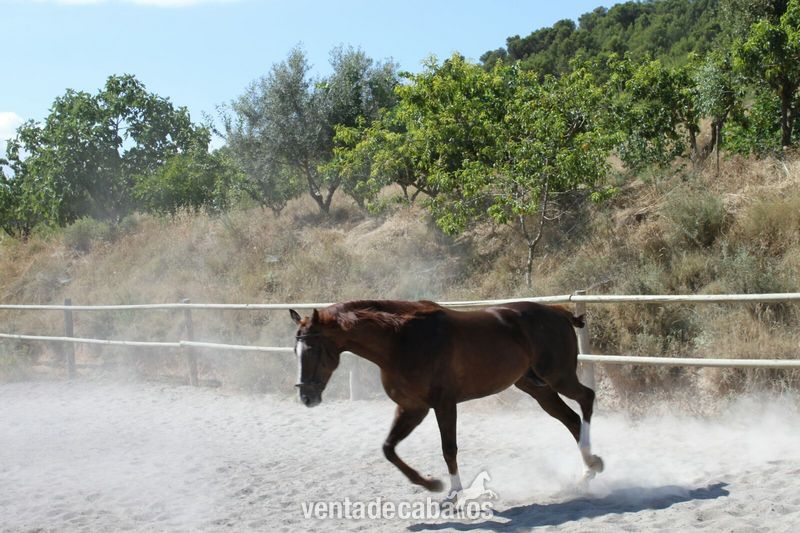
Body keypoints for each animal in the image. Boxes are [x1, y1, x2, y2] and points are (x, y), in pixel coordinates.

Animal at [290, 299, 604, 495]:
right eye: (296, 350)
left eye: (313, 350)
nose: (307, 397)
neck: (400, 340)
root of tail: (558, 311)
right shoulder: (412, 408)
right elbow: (388, 448)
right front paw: (433, 484)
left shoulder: (443, 404)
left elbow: (448, 448)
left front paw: (454, 493)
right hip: (537, 387)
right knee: (571, 420)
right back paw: (589, 469)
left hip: (558, 376)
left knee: (586, 399)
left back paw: (593, 464)